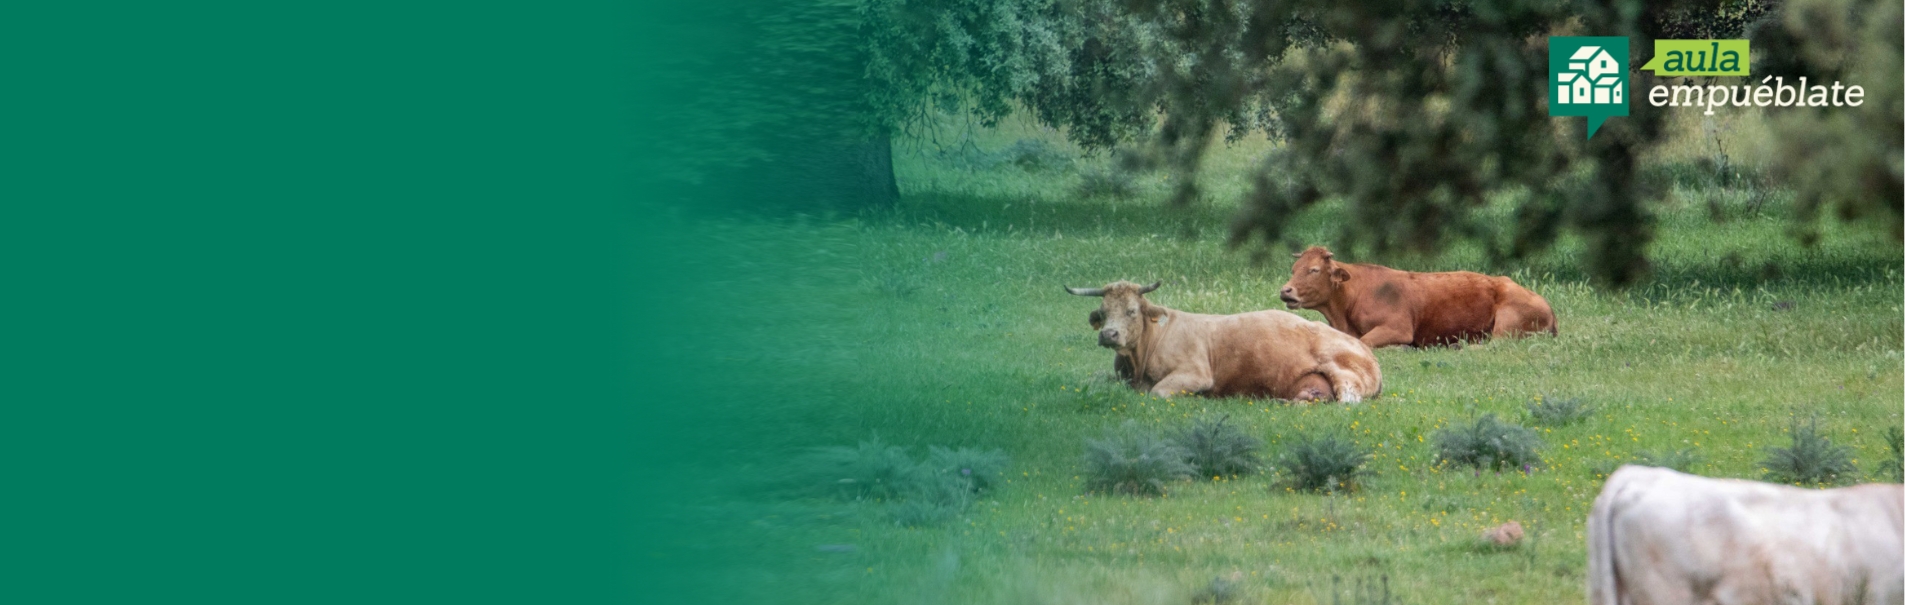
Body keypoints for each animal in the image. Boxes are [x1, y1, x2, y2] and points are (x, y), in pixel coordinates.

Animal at [1066, 280, 1381, 401]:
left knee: (1347, 402)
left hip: (1345, 376)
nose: (1108, 334)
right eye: (1103, 312)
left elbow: (1158, 392)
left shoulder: (1195, 374)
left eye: (1132, 311)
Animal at [1278, 245, 1557, 348]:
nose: (1285, 290)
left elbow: (1366, 342)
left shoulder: (1398, 328)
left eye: (1314, 270)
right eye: (1294, 269)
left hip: (1506, 326)